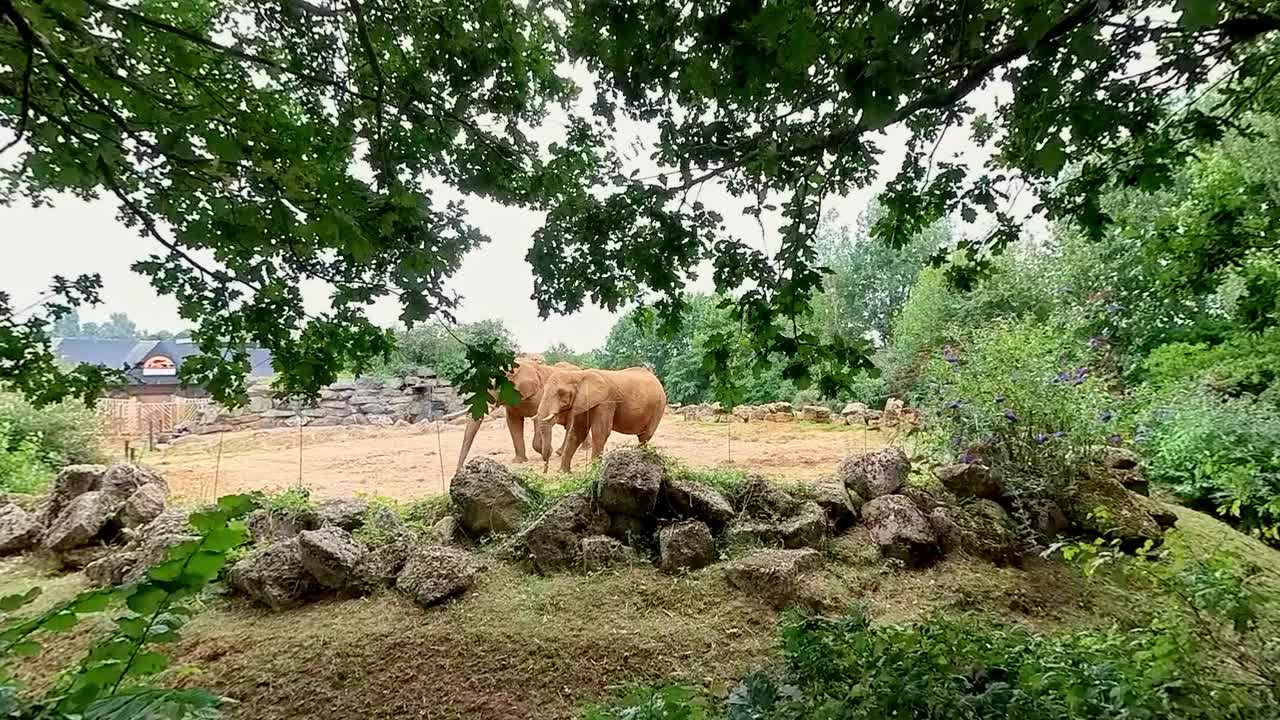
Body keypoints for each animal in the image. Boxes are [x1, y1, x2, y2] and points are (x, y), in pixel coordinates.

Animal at [455, 356, 588, 471]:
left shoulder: (540, 395)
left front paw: (548, 452)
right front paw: (519, 461)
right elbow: (513, 422)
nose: (460, 470)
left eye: (493, 386)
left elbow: (538, 419)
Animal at [535, 363, 670, 471]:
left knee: (645, 436)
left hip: (659, 407)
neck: (579, 375)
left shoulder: (606, 402)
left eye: (561, 393)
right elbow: (578, 432)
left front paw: (594, 472)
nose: (545, 470)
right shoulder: (583, 403)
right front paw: (564, 473)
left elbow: (600, 432)